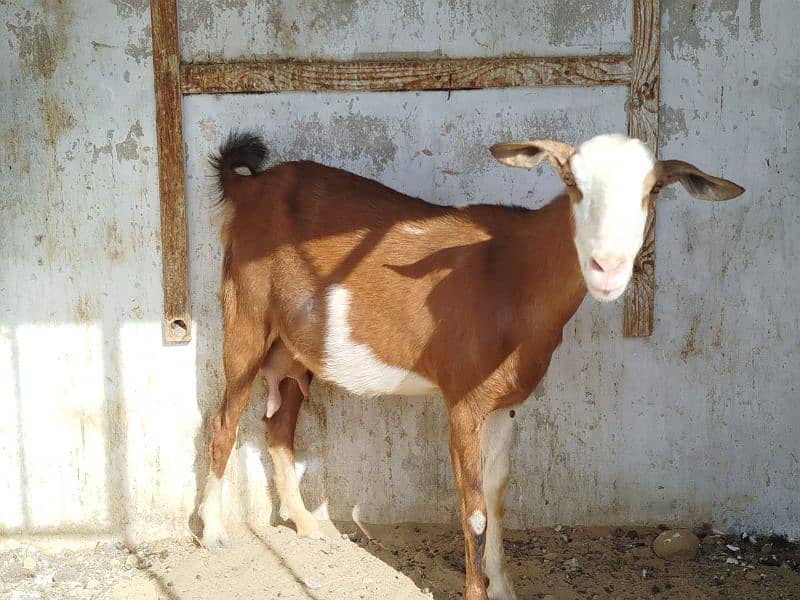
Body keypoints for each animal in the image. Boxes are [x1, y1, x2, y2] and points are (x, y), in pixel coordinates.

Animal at [198, 132, 744, 600]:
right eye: (572, 183)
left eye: (653, 190)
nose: (607, 268)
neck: (513, 274)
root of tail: (247, 186)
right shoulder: (461, 399)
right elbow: (475, 510)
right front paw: (476, 590)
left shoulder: (503, 404)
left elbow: (497, 498)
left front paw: (503, 587)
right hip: (244, 316)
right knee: (224, 420)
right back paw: (212, 531)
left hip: (295, 350)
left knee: (278, 425)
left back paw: (306, 523)